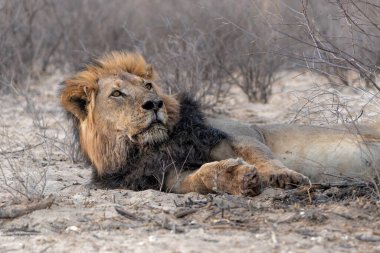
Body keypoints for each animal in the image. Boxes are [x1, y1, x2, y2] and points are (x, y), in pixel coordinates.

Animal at [59, 51, 380, 196]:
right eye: (117, 94)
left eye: (148, 86)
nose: (154, 104)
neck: (147, 148)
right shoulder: (168, 176)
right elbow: (200, 178)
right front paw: (235, 176)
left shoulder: (242, 132)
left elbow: (261, 155)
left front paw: (283, 176)